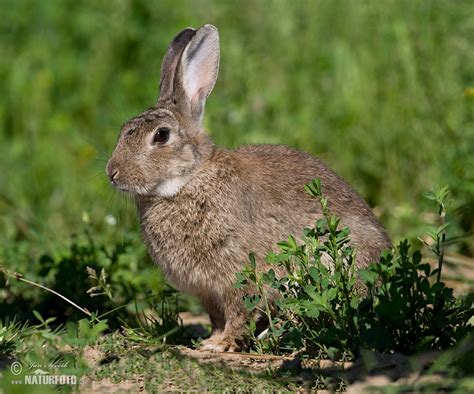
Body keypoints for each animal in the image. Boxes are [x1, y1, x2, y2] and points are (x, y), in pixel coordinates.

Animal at [105, 24, 390, 350]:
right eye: (124, 130)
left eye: (161, 136)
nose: (112, 172)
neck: (189, 179)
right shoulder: (209, 293)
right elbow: (217, 317)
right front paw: (211, 340)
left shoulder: (239, 277)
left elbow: (240, 312)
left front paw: (220, 345)